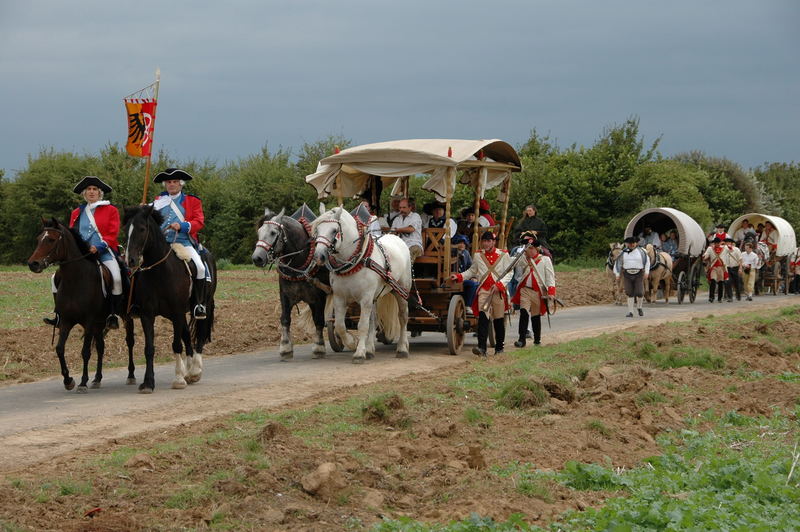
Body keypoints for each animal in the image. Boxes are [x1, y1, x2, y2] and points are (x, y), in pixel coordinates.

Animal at [26, 218, 135, 392]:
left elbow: (85, 352)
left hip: (125, 316)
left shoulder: (88, 322)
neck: (75, 280)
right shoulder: (66, 321)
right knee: (100, 346)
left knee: (129, 341)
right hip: (99, 323)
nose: (33, 264)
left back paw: (130, 375)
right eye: (38, 239)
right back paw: (97, 379)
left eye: (51, 240)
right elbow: (60, 349)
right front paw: (68, 380)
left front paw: (83, 382)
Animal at [123, 206, 216, 392]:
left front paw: (179, 379)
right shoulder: (147, 314)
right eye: (126, 229)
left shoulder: (176, 311)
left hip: (204, 307)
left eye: (142, 229)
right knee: (187, 336)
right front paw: (148, 382)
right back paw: (189, 372)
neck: (159, 272)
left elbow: (176, 345)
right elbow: (149, 348)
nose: (130, 260)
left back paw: (195, 370)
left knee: (200, 334)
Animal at [248, 206, 326, 360]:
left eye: (273, 233)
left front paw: (319, 347)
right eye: (259, 232)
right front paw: (285, 347)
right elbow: (285, 319)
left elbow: (319, 319)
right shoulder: (285, 295)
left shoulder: (320, 296)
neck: (299, 264)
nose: (257, 258)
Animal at [310, 206, 412, 364]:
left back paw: (402, 348)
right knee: (373, 320)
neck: (355, 262)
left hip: (401, 290)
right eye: (317, 230)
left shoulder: (365, 298)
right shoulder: (340, 298)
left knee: (402, 317)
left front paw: (359, 353)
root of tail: (397, 238)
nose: (318, 256)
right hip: (375, 298)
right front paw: (353, 343)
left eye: (334, 230)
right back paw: (369, 349)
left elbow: (362, 326)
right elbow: (340, 325)